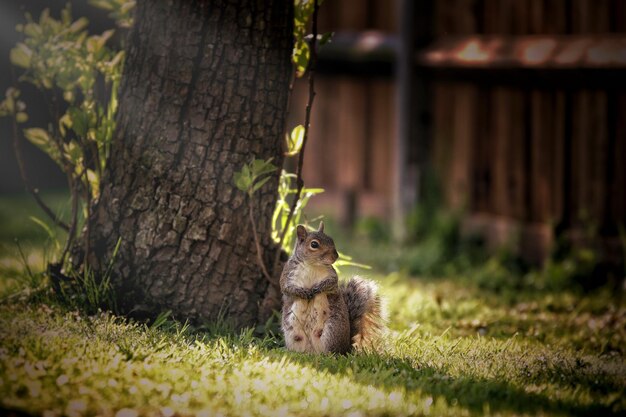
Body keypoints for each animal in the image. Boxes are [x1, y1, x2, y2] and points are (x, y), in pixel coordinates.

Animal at [280, 219, 386, 352]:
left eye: (331, 239)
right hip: (292, 334)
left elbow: (330, 283)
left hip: (332, 330)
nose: (336, 256)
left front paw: (318, 288)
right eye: (314, 244)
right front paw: (302, 292)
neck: (312, 265)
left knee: (332, 351)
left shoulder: (331, 276)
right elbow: (287, 288)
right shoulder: (288, 274)